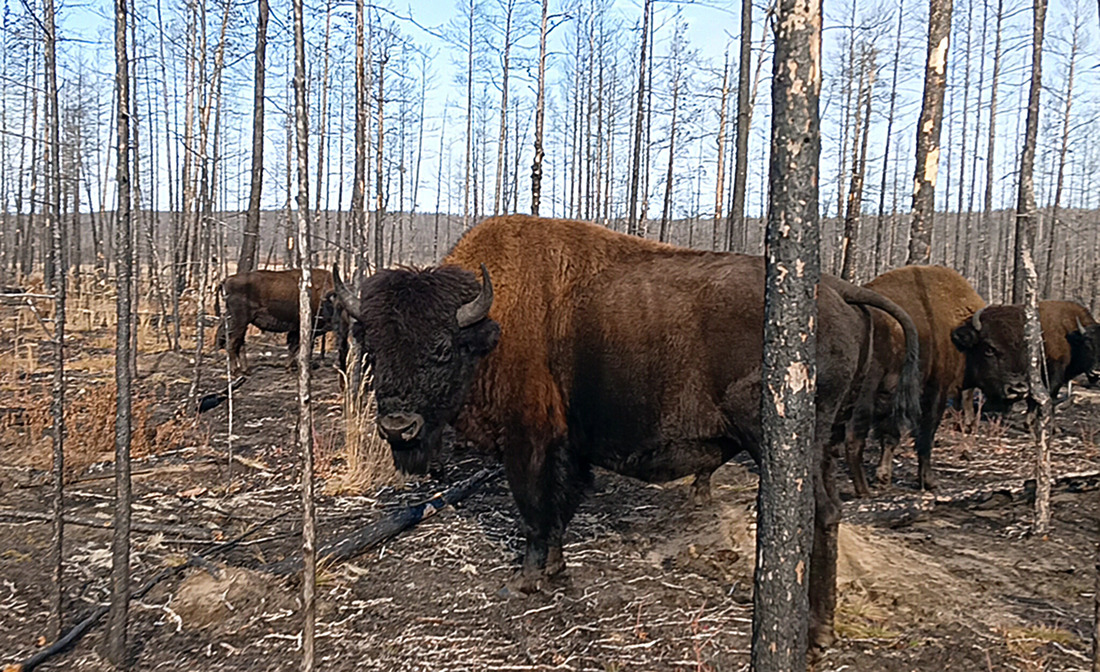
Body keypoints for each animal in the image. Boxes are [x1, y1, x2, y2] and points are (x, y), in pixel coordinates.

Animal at [214, 265, 347, 376]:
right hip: (240, 321)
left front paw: (289, 367)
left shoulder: (297, 330)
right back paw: (235, 371)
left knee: (238, 343)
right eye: (339, 307)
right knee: (232, 343)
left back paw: (246, 370)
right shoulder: (308, 329)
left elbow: (293, 347)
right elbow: (302, 347)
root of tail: (226, 280)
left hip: (241, 322)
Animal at [327, 215, 919, 651]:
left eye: (441, 349)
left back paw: (815, 632)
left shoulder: (529, 443)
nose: (398, 426)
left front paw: (523, 580)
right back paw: (824, 629)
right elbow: (560, 511)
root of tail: (838, 287)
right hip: (822, 443)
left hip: (780, 438)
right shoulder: (567, 448)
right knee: (831, 511)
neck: (492, 328)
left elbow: (536, 511)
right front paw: (556, 572)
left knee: (816, 513)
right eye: (371, 347)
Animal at [840, 267, 990, 494]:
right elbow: (925, 436)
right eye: (990, 349)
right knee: (853, 437)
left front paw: (883, 477)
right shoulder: (935, 390)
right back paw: (863, 490)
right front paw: (928, 481)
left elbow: (890, 437)